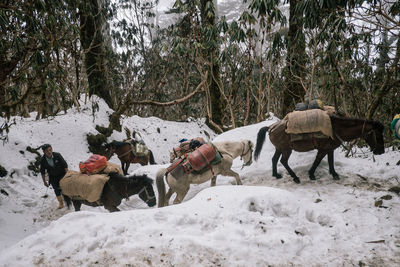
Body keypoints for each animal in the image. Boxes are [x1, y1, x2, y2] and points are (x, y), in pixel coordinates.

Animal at [255, 116, 386, 185]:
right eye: (378, 135)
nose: (381, 151)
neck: (335, 129)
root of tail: (270, 128)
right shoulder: (323, 149)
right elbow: (317, 161)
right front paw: (311, 174)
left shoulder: (330, 149)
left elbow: (330, 161)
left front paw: (334, 174)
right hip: (286, 149)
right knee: (283, 161)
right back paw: (295, 177)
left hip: (280, 148)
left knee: (274, 159)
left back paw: (276, 175)